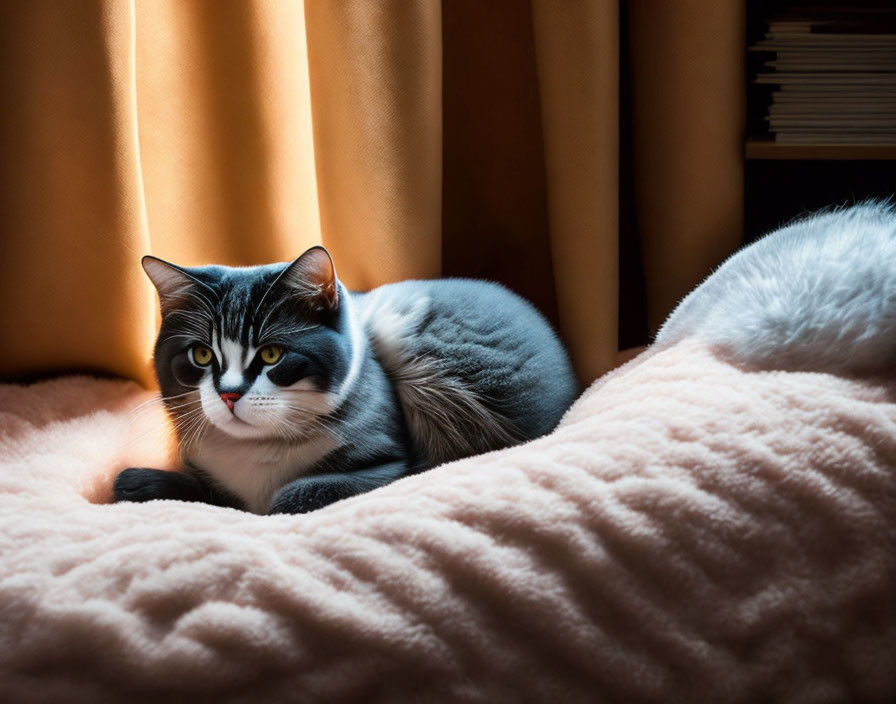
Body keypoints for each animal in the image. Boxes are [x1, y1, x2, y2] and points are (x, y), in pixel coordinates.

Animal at [114, 250, 580, 516]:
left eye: (272, 354)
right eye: (201, 355)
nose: (229, 394)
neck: (257, 449)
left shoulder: (394, 462)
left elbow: (289, 497)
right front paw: (142, 483)